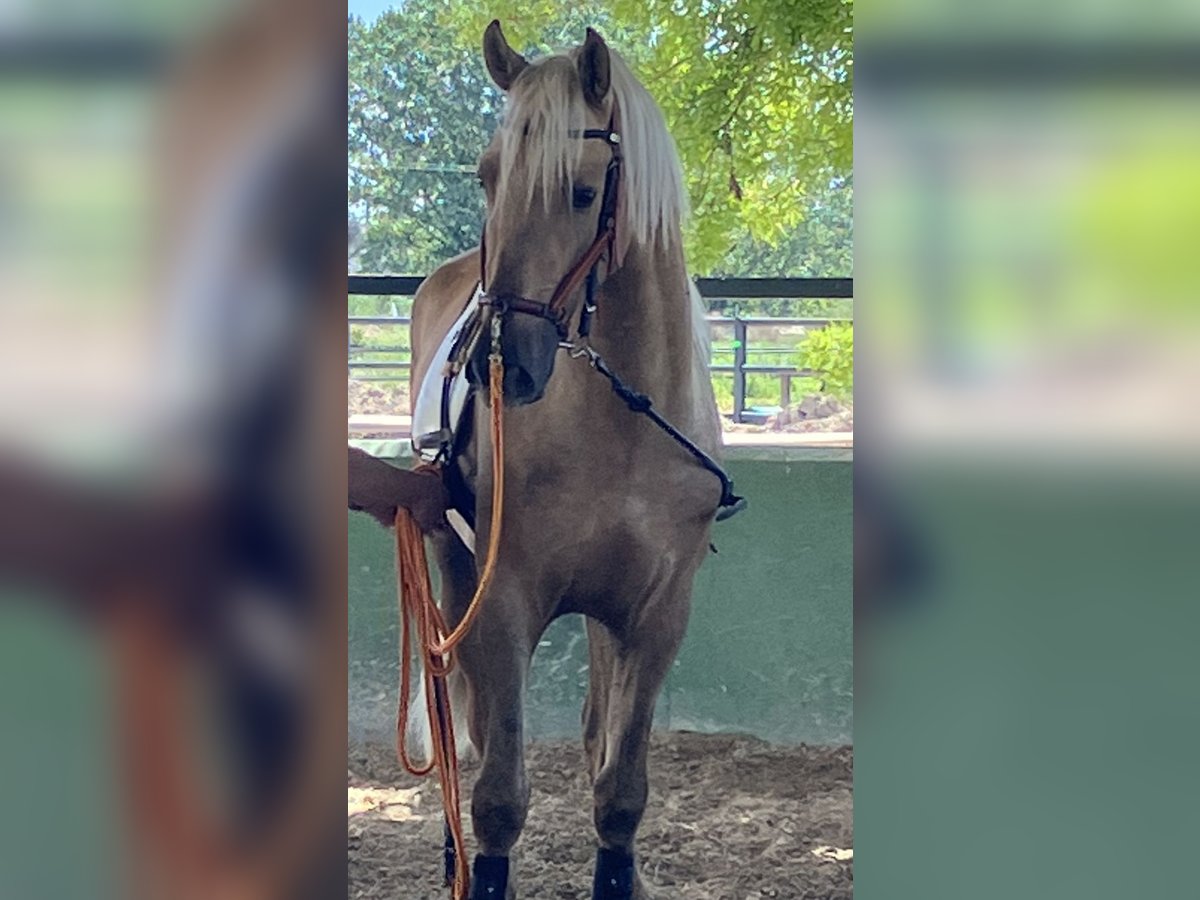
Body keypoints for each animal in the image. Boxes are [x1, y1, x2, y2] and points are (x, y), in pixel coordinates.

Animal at [408, 21, 734, 900]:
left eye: (583, 192)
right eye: (488, 178)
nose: (501, 361)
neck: (619, 427)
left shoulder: (657, 614)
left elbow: (618, 787)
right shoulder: (503, 600)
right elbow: (498, 794)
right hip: (452, 573)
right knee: (463, 725)